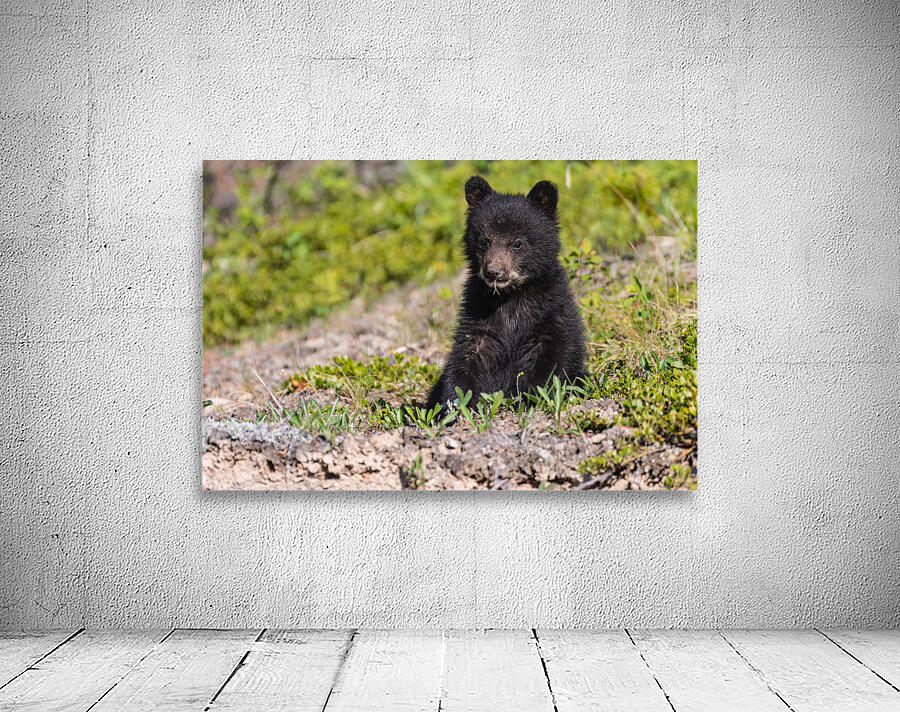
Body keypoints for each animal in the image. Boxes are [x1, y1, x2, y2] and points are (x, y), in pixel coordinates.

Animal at [426, 175, 586, 409]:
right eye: (484, 241)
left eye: (517, 243)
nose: (494, 271)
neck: (510, 296)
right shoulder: (478, 315)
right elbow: (465, 358)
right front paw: (455, 404)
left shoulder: (551, 314)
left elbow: (551, 358)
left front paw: (531, 396)